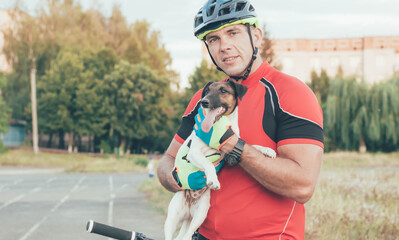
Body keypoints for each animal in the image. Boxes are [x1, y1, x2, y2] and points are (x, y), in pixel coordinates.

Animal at [164, 81, 276, 240]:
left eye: (223, 90)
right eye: (207, 91)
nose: (203, 102)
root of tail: (189, 210)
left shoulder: (230, 150)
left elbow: (250, 144)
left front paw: (266, 149)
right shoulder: (194, 153)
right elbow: (208, 164)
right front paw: (213, 179)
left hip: (200, 214)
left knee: (188, 234)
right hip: (172, 218)